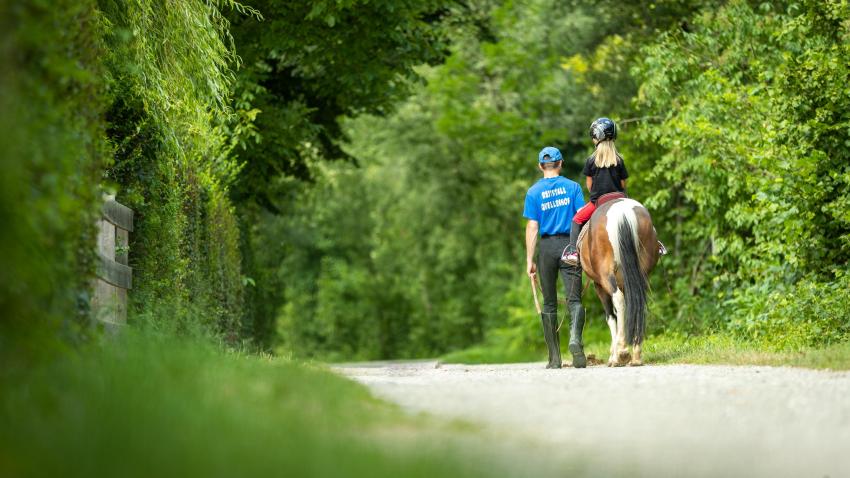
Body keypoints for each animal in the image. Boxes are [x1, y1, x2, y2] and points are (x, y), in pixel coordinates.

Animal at [576, 197, 656, 366]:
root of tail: (622, 212)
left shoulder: (599, 285)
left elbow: (611, 317)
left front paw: (614, 355)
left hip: (607, 278)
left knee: (618, 302)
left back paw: (623, 352)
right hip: (640, 274)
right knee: (638, 302)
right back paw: (636, 355)